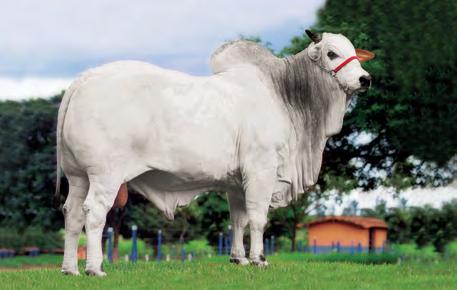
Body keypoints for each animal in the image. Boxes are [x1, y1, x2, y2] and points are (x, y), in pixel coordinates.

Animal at [56, 30, 370, 276]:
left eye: (354, 52)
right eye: (331, 53)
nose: (365, 79)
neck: (285, 95)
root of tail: (84, 78)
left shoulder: (237, 182)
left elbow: (238, 220)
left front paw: (238, 259)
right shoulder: (261, 169)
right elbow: (258, 218)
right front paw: (259, 259)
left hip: (78, 176)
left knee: (72, 214)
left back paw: (70, 269)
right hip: (105, 176)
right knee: (94, 213)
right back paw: (94, 268)